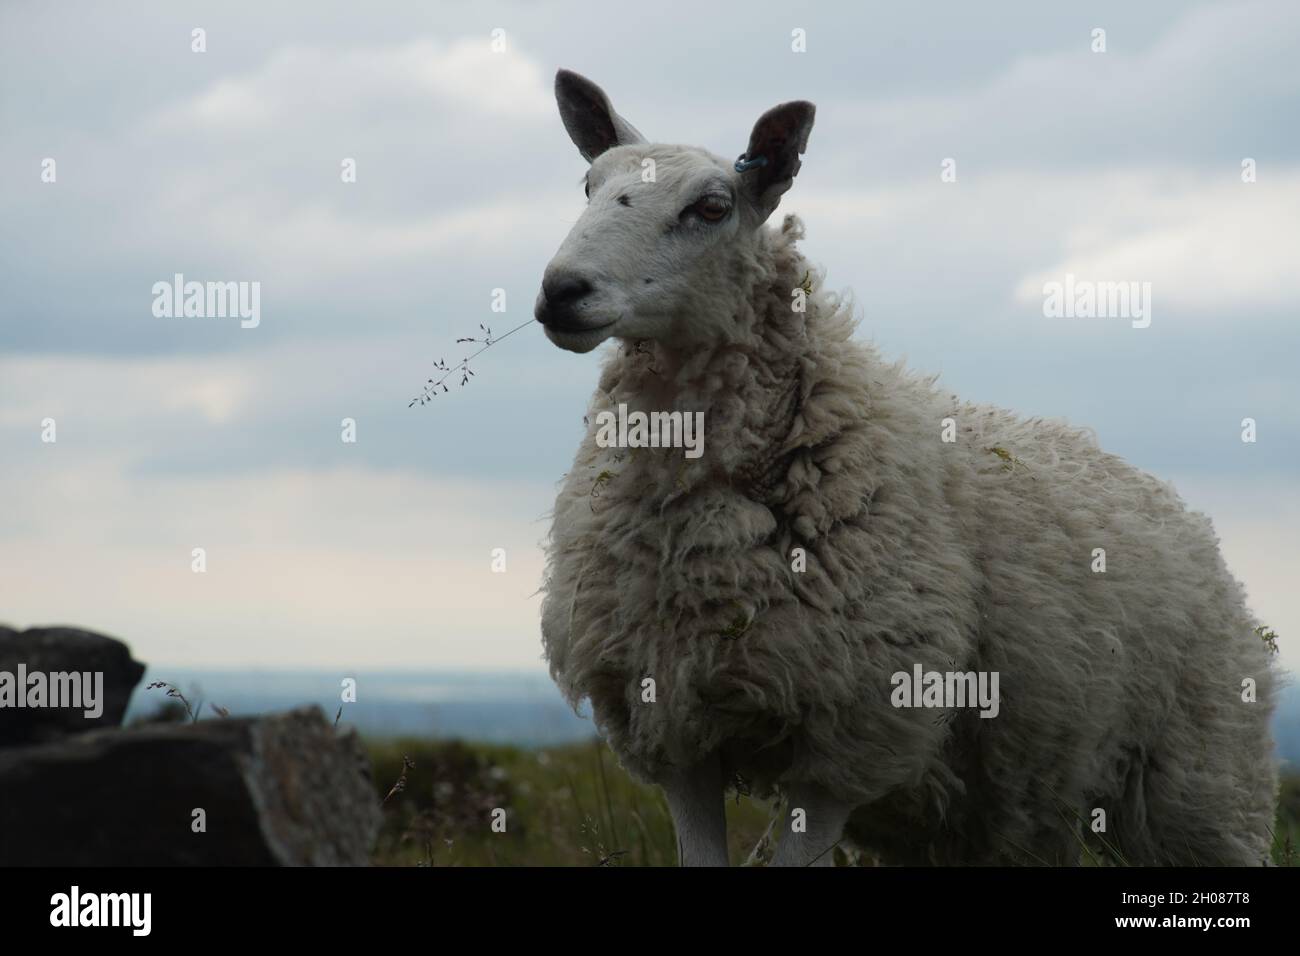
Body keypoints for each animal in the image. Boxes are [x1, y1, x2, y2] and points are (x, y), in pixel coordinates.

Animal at [536, 69, 1279, 866]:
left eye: (711, 206)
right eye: (589, 185)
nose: (561, 291)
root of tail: (1174, 504)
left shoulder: (848, 742)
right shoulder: (677, 729)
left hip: (1200, 784)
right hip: (1011, 804)